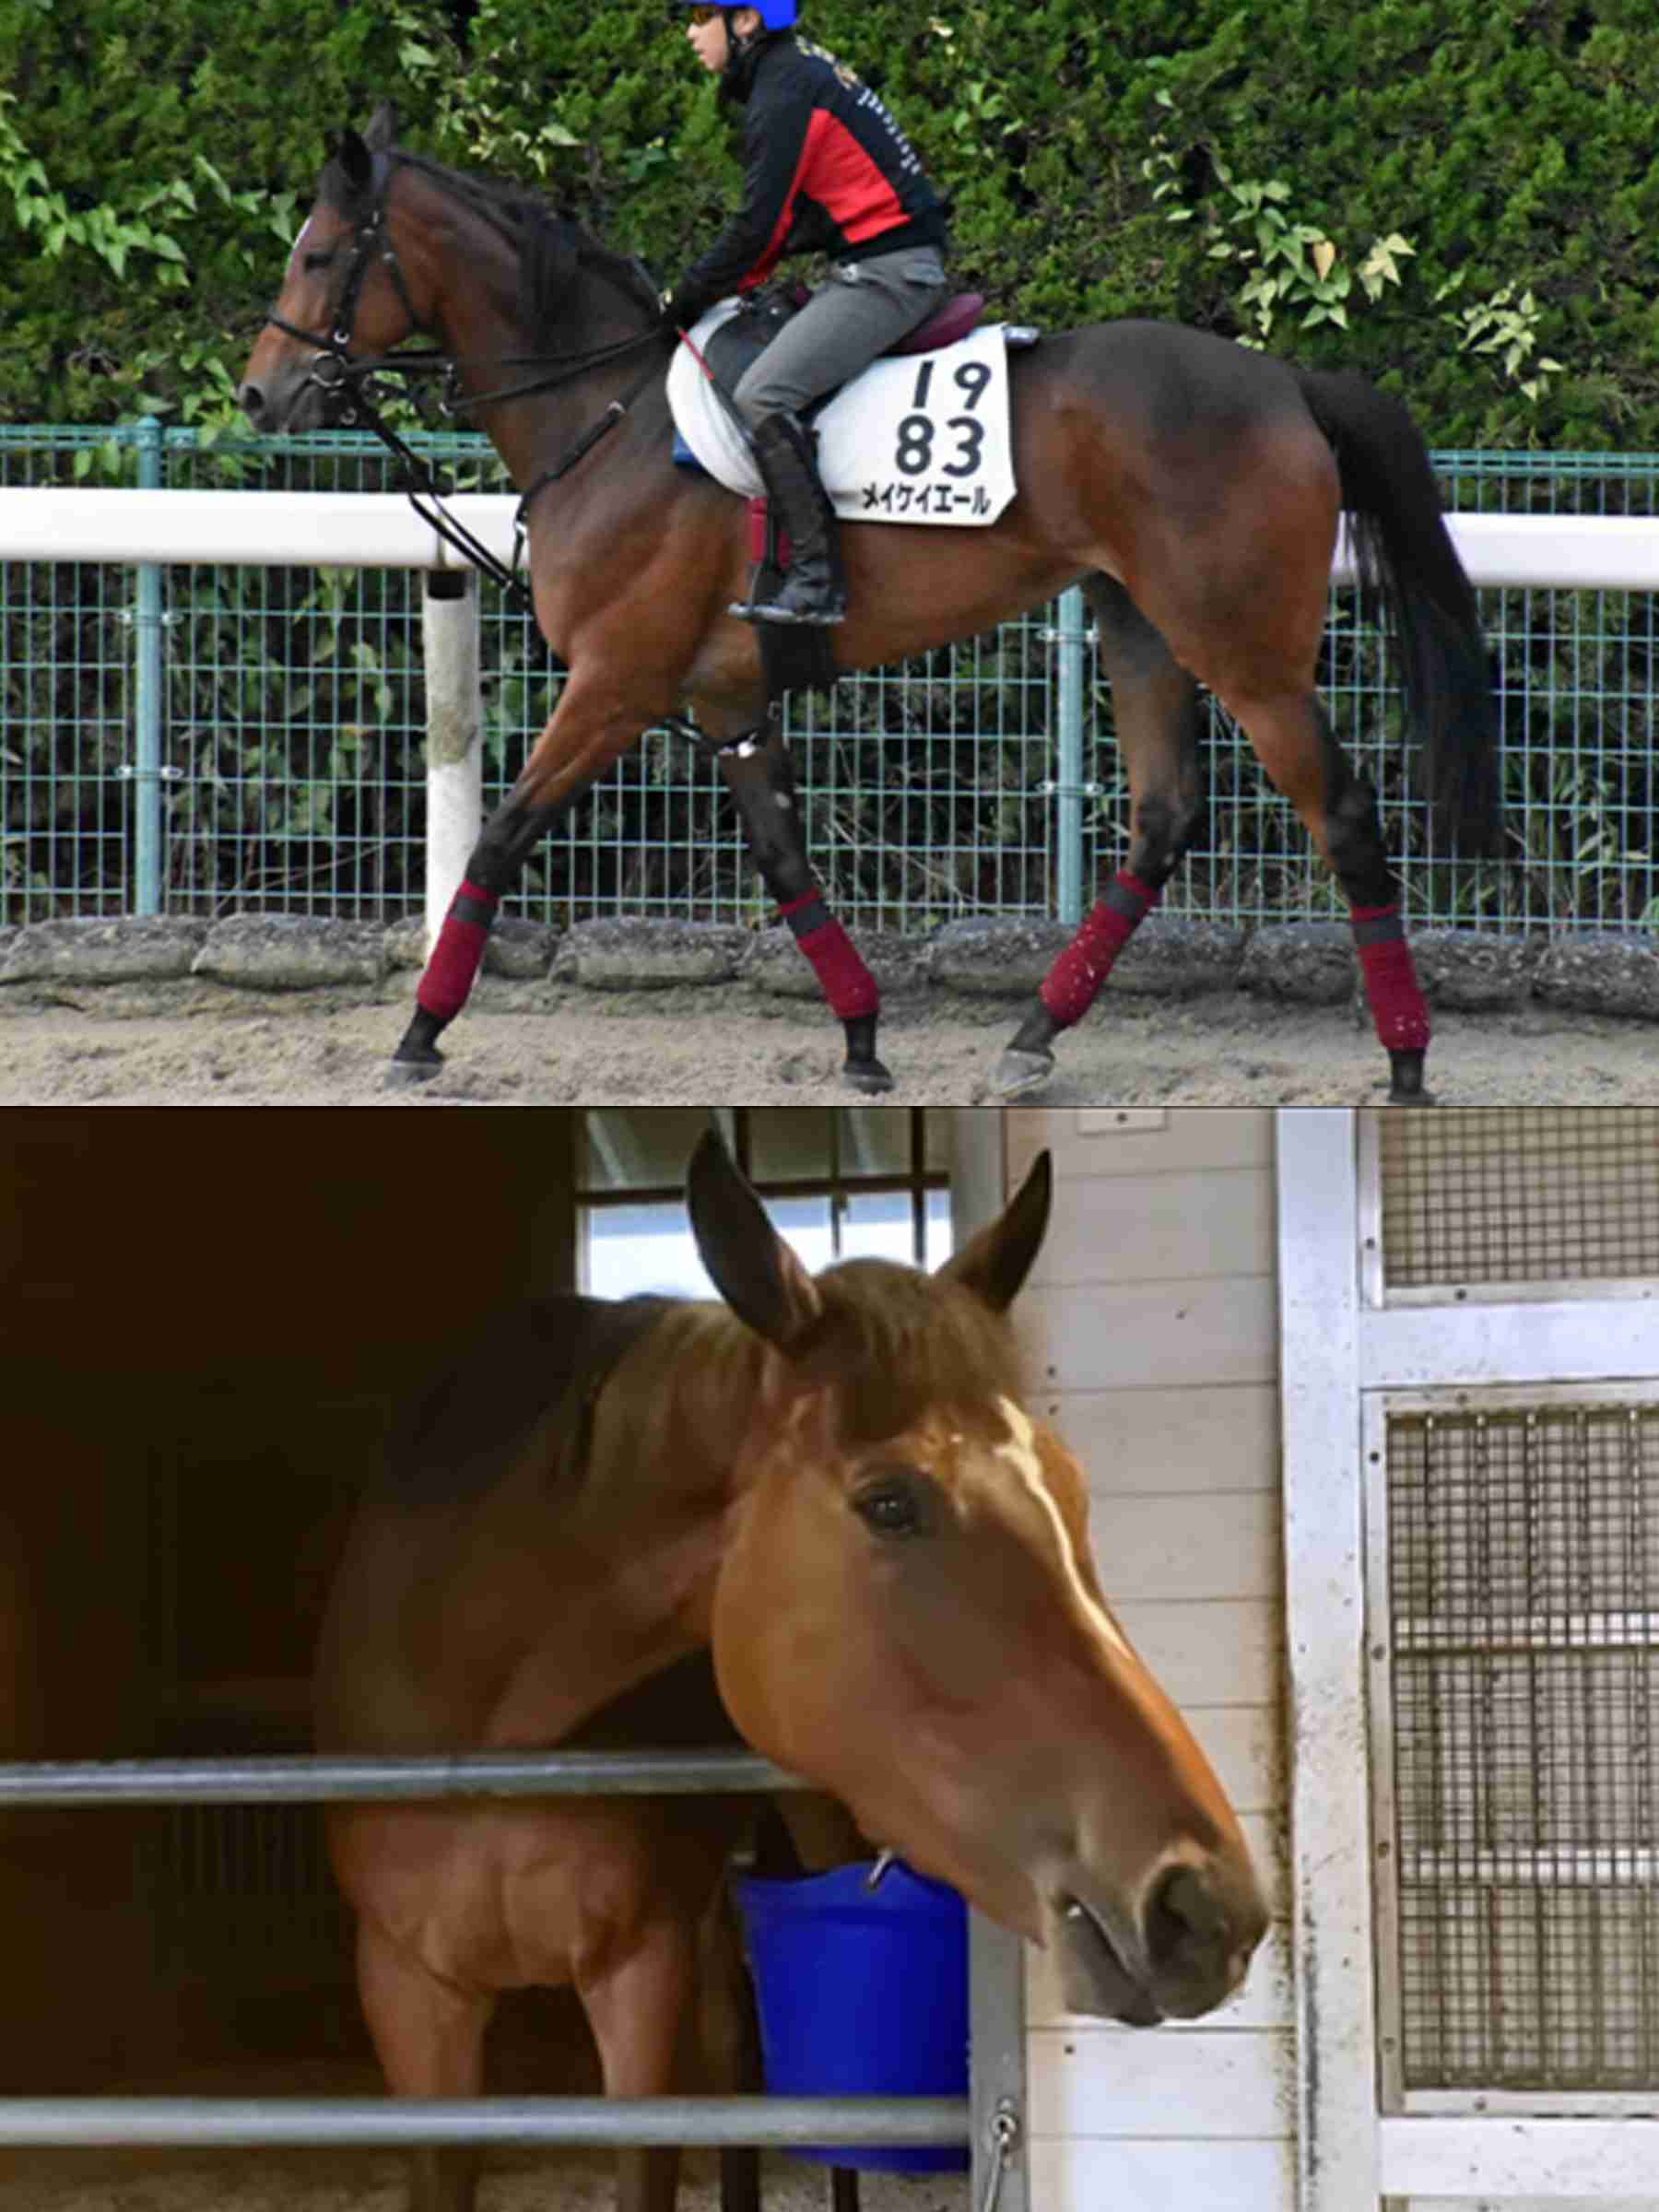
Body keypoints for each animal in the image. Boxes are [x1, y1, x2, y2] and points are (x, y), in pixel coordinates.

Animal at [240, 108, 1499, 1106]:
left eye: (316, 253)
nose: (260, 392)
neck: (608, 407)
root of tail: (1285, 380)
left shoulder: (616, 685)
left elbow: (498, 839)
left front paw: (419, 1031)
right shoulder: (726, 698)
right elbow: (787, 861)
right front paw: (860, 1037)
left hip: (1246, 653)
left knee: (1343, 815)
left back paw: (1406, 1058)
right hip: (1137, 622)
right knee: (1162, 818)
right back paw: (1035, 1035)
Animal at [315, 1130, 1269, 2212]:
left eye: (1070, 1489)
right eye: (891, 1504)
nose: (1207, 1910)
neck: (483, 1717)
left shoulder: (639, 1976)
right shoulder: (409, 1996)